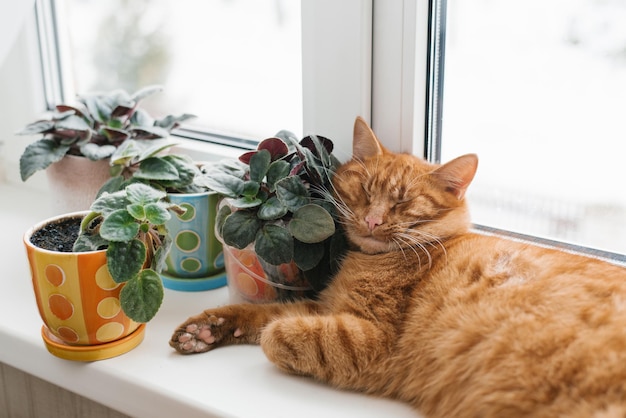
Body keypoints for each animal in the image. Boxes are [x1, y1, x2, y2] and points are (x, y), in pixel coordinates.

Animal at [168, 116, 624, 416]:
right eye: (366, 191)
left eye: (403, 203)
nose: (372, 221)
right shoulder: (327, 307)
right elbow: (261, 313)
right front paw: (206, 329)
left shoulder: (369, 341)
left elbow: (277, 333)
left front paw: (272, 336)